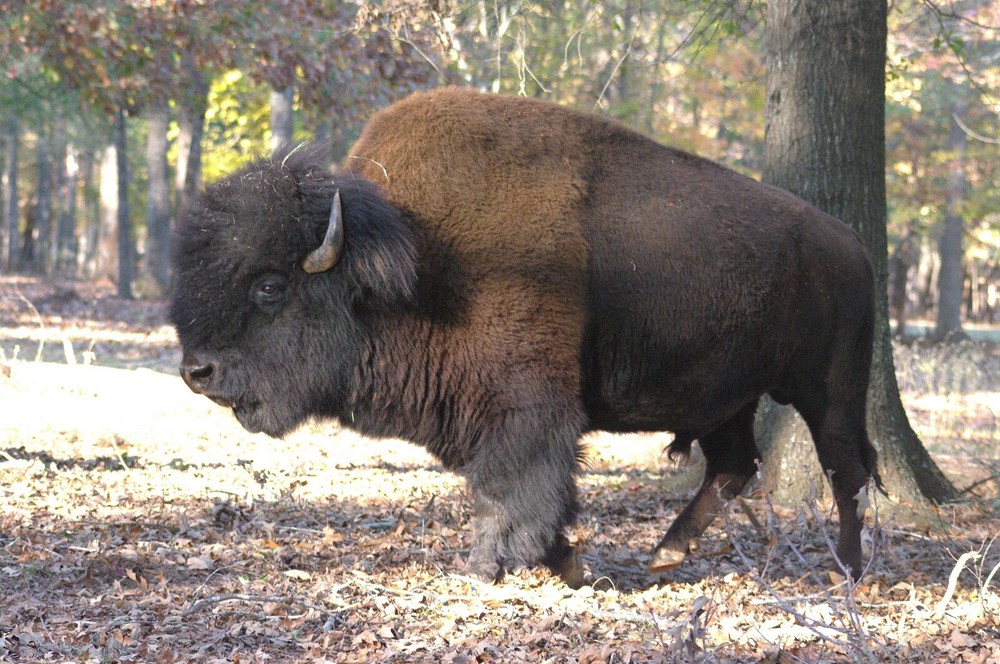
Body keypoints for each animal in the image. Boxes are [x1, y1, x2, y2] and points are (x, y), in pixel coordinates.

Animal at [170, 87, 878, 588]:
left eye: (269, 285)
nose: (196, 371)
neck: (415, 260)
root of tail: (853, 243)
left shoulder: (525, 411)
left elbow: (518, 488)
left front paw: (491, 566)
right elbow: (510, 490)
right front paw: (564, 564)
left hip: (829, 389)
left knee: (846, 468)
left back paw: (848, 570)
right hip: (722, 398)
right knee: (735, 464)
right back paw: (666, 555)